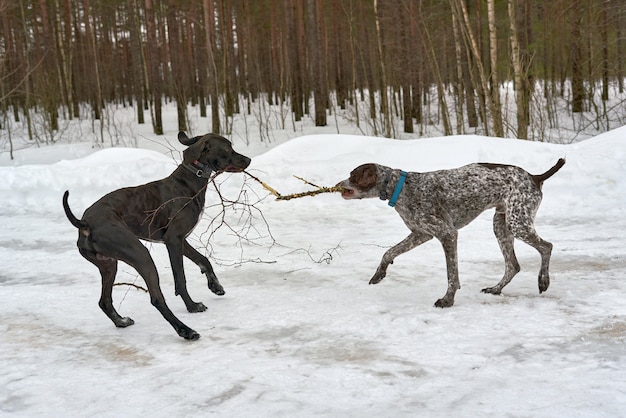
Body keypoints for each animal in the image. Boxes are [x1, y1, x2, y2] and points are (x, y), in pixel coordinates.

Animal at [62, 133, 250, 340]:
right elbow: (181, 279)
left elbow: (204, 260)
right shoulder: (173, 240)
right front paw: (192, 306)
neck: (189, 180)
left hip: (109, 264)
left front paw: (215, 286)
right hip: (141, 256)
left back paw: (121, 321)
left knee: (104, 301)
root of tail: (85, 223)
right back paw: (186, 330)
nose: (248, 160)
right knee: (156, 299)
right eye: (227, 149)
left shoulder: (181, 240)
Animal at [336, 159, 564, 306]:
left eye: (353, 176)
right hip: (502, 225)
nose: (338, 185)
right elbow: (389, 252)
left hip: (518, 223)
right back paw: (495, 289)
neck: (402, 188)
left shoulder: (447, 234)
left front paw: (448, 299)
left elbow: (451, 275)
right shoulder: (420, 234)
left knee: (547, 247)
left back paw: (543, 280)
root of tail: (534, 177)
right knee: (513, 265)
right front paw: (379, 273)